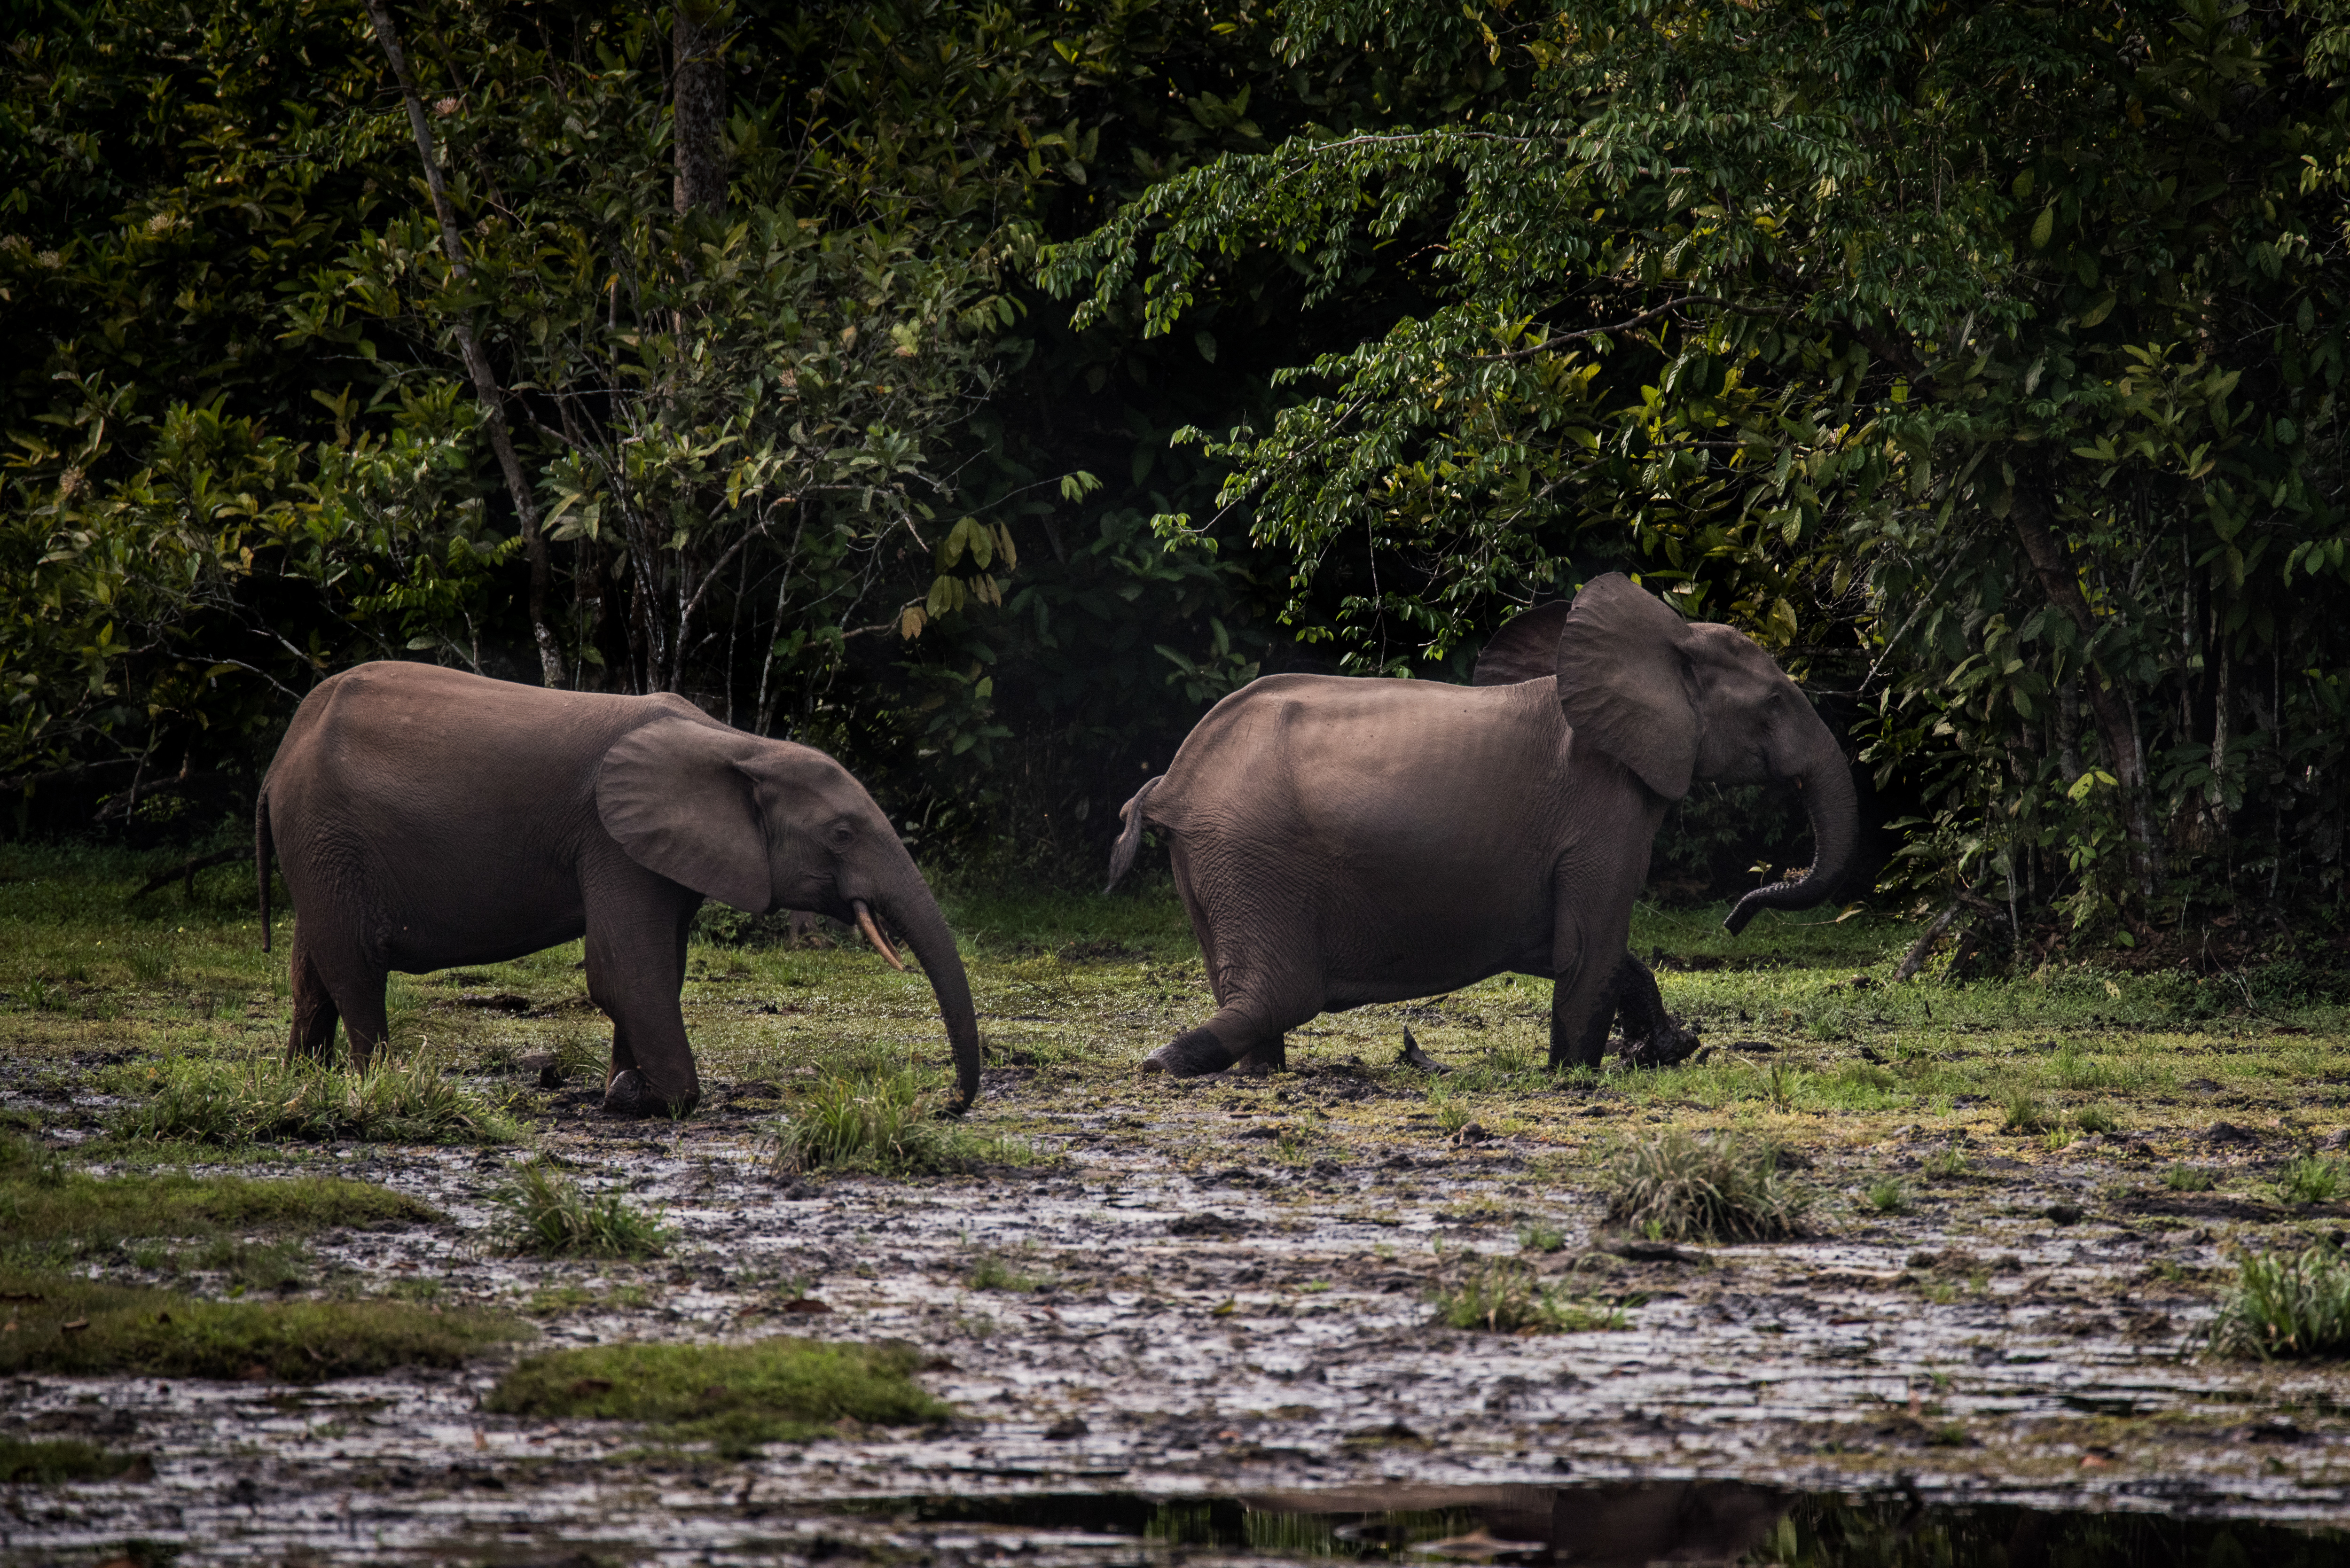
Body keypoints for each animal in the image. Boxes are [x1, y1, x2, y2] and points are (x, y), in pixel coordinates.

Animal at [259, 663, 982, 1114]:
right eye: (841, 833)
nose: (946, 1106)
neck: (740, 744)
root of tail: (281, 755)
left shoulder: (658, 853)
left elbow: (658, 969)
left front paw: (622, 1088)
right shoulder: (611, 841)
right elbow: (625, 973)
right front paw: (643, 1098)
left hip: (321, 849)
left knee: (312, 972)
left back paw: (302, 1083)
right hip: (326, 833)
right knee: (355, 969)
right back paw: (377, 1085)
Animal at [1100, 573, 1852, 1081]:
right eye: (1775, 701)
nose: (1734, 917)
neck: (1666, 640)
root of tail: (1173, 781)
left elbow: (1568, 948)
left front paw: (1662, 1051)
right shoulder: (1605, 808)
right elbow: (1590, 949)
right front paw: (1575, 1076)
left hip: (1219, 861)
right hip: (1255, 855)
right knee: (1281, 993)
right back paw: (1161, 1061)